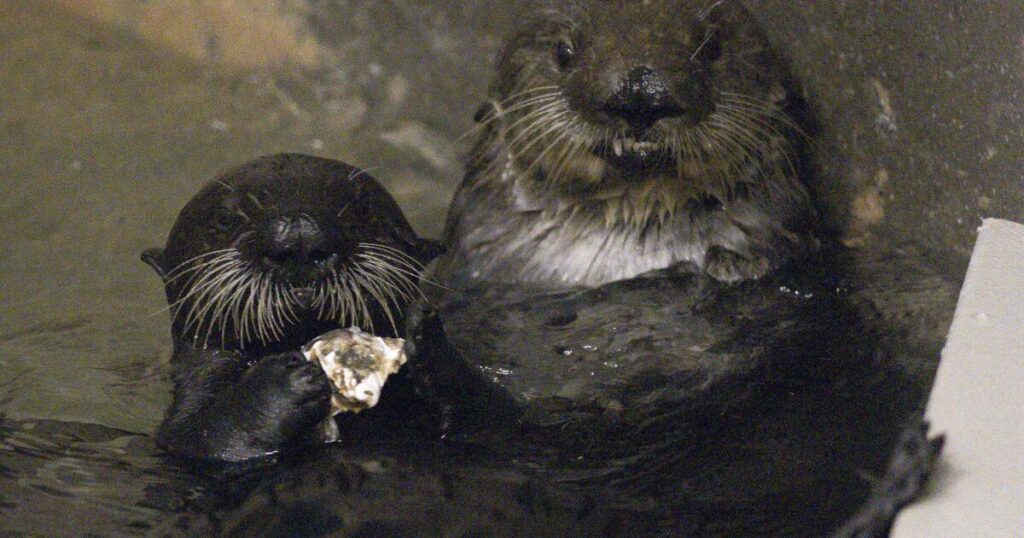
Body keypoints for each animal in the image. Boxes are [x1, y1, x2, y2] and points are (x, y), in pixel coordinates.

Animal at [143, 154, 442, 461]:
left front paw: (424, 334)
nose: (301, 236)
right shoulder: (184, 432)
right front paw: (287, 380)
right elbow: (203, 436)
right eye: (224, 218)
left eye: (363, 208)